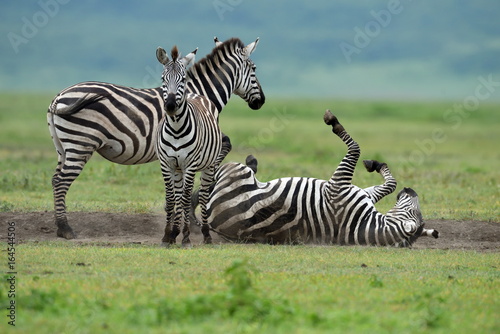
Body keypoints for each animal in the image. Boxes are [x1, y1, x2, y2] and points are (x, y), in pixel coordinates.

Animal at [47, 37, 266, 240]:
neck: (198, 94)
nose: (261, 102)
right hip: (80, 144)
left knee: (55, 179)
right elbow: (224, 146)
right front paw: (189, 214)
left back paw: (59, 227)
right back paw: (65, 229)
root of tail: (59, 96)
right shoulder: (204, 138)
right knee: (62, 181)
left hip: (63, 148)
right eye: (254, 68)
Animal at [193, 111, 440, 247]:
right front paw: (376, 164)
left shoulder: (338, 185)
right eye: (416, 210)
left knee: (215, 171)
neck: (365, 224)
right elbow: (389, 184)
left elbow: (355, 147)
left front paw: (333, 122)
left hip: (235, 172)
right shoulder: (357, 191)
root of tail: (216, 224)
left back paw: (233, 149)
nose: (411, 190)